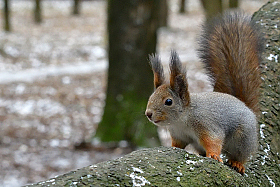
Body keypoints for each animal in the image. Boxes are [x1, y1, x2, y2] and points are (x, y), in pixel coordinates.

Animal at [144, 11, 262, 175]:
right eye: (151, 97)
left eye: (168, 101)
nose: (148, 114)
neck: (182, 119)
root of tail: (245, 106)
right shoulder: (178, 135)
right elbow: (177, 145)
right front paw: (171, 148)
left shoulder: (206, 125)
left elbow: (214, 140)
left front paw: (213, 155)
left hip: (243, 138)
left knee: (241, 154)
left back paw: (237, 163)